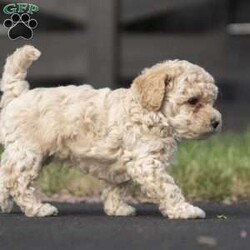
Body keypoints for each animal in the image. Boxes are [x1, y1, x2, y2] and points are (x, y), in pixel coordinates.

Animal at [0, 46, 222, 218]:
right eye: (193, 101)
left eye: (211, 101)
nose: (216, 122)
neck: (149, 111)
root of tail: (18, 95)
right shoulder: (146, 162)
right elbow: (168, 188)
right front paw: (185, 210)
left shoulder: (122, 164)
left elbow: (117, 187)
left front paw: (117, 209)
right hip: (28, 152)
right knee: (17, 181)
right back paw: (39, 209)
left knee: (4, 175)